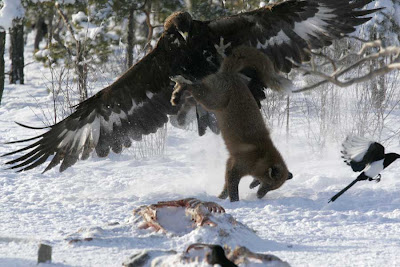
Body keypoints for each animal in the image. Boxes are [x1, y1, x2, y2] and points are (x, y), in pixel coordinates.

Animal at [170, 45, 292, 203]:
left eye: (272, 188)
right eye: (268, 185)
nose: (259, 196)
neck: (258, 157)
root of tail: (231, 74)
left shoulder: (229, 163)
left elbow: (225, 189)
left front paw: (220, 199)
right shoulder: (235, 168)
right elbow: (233, 192)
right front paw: (234, 204)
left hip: (209, 102)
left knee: (190, 90)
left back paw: (176, 94)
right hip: (211, 101)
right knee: (191, 86)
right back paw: (179, 87)